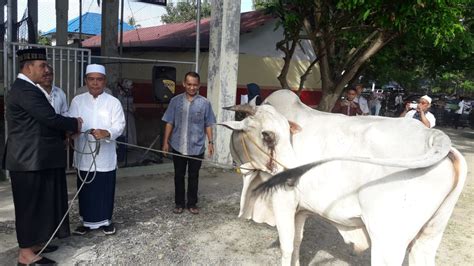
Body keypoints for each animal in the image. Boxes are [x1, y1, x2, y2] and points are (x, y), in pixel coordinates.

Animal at [222, 96, 466, 266]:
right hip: (431, 233)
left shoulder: (283, 201)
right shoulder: (301, 210)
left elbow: (287, 246)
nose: (292, 173)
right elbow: (298, 242)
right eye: (267, 134)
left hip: (388, 240)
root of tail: (432, 136)